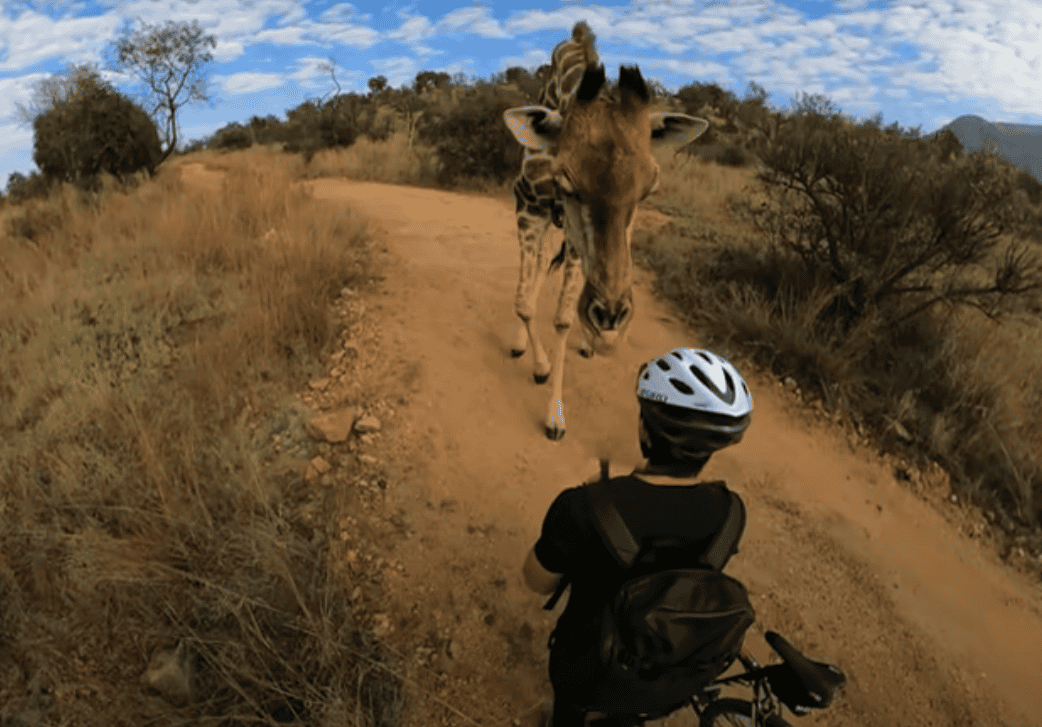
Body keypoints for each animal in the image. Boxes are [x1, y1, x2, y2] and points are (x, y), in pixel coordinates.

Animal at [503, 21, 708, 440]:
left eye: (649, 188)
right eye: (567, 183)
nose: (610, 317)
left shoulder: (577, 240)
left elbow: (562, 318)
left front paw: (555, 416)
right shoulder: (528, 211)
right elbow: (525, 302)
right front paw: (539, 365)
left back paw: (592, 337)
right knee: (543, 272)